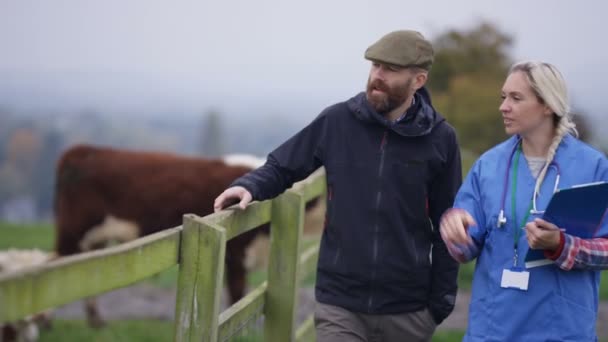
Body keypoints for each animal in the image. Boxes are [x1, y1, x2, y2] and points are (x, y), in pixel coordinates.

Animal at [53, 144, 272, 326]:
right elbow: (237, 296)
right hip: (74, 230)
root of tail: (83, 149)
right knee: (56, 265)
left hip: (96, 237)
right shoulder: (237, 254)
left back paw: (95, 320)